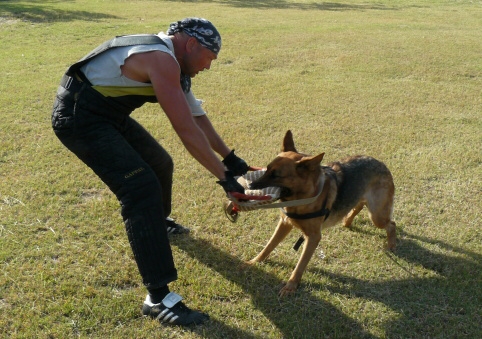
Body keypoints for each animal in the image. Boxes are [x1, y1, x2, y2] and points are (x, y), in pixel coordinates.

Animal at [249, 131, 396, 296]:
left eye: (276, 175)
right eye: (267, 169)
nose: (250, 185)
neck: (304, 196)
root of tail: (381, 164)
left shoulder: (313, 238)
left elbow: (300, 265)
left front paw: (290, 286)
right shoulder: (285, 224)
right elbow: (268, 246)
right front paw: (254, 262)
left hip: (377, 216)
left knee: (391, 224)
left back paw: (391, 244)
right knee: (358, 206)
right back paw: (347, 221)